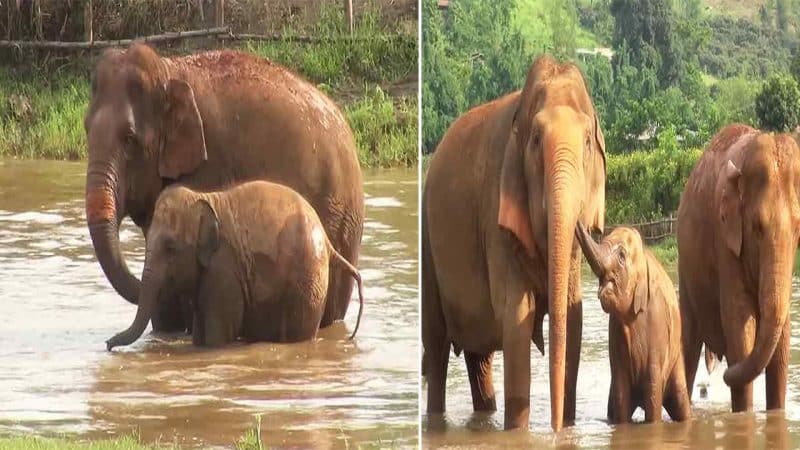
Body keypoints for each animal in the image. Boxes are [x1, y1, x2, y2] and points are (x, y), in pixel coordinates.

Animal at [106, 181, 366, 350]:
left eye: (170, 248)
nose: (108, 344)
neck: (203, 197)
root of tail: (328, 243)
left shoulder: (224, 268)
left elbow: (216, 336)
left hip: (307, 282)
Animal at [422, 56, 604, 432]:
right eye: (535, 140)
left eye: (587, 143)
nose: (555, 429)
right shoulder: (497, 215)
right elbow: (519, 313)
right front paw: (519, 432)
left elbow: (573, 314)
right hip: (428, 244)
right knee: (436, 346)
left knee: (479, 358)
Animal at [576, 223, 692, 424]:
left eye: (622, 255)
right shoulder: (615, 330)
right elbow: (620, 390)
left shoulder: (657, 322)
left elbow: (653, 387)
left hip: (676, 359)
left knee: (680, 402)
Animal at [676, 123, 800, 412]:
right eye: (756, 228)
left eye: (799, 228)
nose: (722, 374)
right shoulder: (725, 240)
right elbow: (740, 328)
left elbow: (781, 345)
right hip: (685, 271)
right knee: (688, 344)